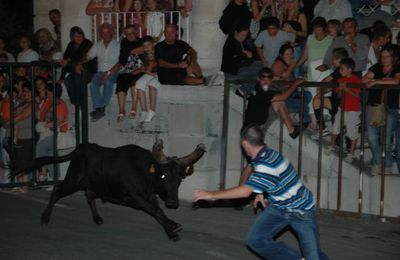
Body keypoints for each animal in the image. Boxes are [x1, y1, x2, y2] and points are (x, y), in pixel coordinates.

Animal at [10, 139, 206, 241]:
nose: (173, 202)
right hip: (73, 181)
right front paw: (173, 228)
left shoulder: (150, 196)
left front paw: (171, 230)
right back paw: (44, 218)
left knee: (89, 195)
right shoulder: (135, 196)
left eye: (179, 177)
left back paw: (97, 219)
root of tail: (82, 147)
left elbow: (158, 212)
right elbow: (156, 211)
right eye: (163, 175)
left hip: (94, 185)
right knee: (58, 189)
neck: (144, 170)